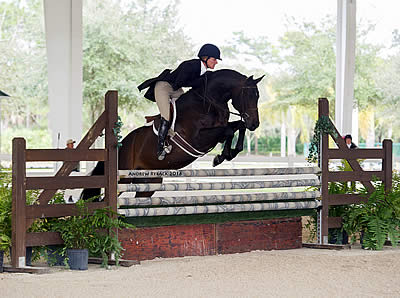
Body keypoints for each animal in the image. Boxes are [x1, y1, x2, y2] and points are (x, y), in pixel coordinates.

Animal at [80, 69, 262, 200]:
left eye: (258, 96)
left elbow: (238, 126)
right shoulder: (197, 139)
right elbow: (229, 131)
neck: (208, 102)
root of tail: (120, 144)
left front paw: (230, 153)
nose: (255, 124)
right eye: (248, 95)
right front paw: (221, 157)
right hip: (123, 177)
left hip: (148, 183)